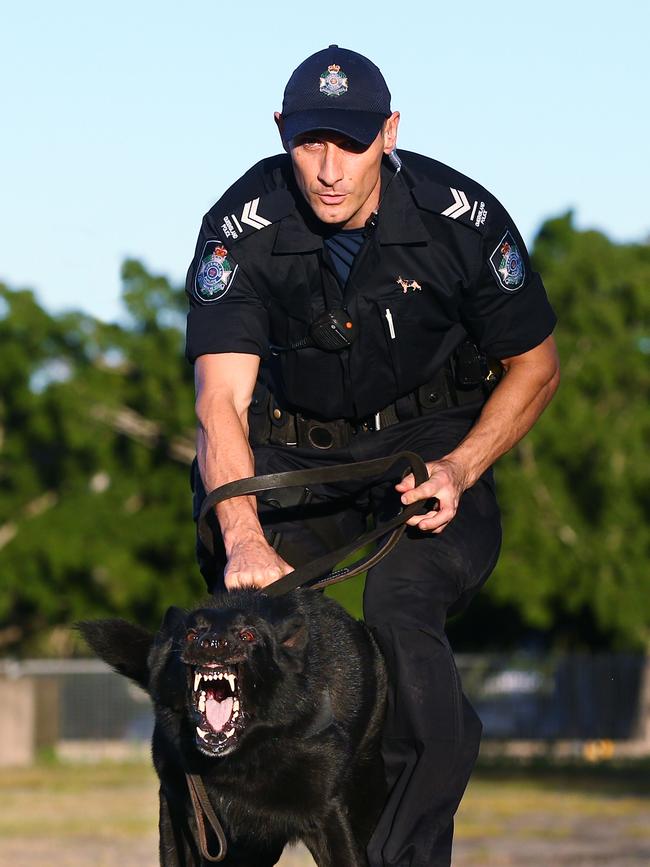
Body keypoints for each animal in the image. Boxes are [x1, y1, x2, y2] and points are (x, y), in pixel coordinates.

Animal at [79, 588, 384, 867]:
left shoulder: (328, 817)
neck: (241, 759)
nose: (212, 643)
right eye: (191, 634)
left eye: (247, 635)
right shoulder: (187, 818)